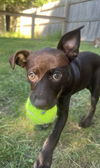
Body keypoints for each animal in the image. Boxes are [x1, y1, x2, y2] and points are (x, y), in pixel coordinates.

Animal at [9, 26, 100, 168]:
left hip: (95, 89)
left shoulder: (63, 111)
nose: (39, 105)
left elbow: (54, 135)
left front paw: (43, 159)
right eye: (31, 75)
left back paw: (86, 122)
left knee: (93, 105)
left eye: (57, 75)